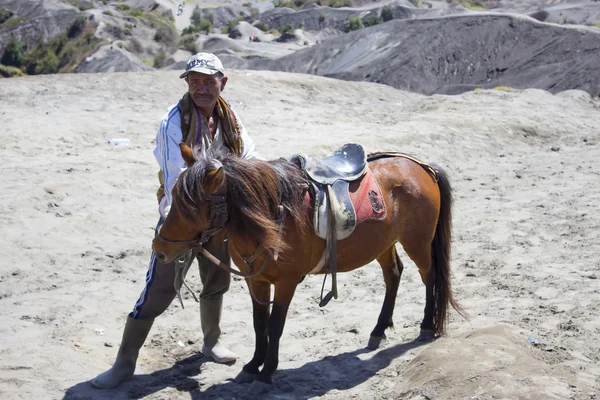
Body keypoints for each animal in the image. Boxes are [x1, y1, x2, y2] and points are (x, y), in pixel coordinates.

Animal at [150, 143, 464, 390]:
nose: (160, 248)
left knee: (429, 277)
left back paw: (426, 326)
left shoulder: (286, 282)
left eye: (190, 206)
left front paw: (267, 372)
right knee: (394, 275)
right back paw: (378, 330)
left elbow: (275, 325)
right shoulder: (257, 281)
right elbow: (259, 324)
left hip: (418, 242)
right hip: (384, 243)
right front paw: (252, 365)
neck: (272, 214)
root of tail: (421, 166)